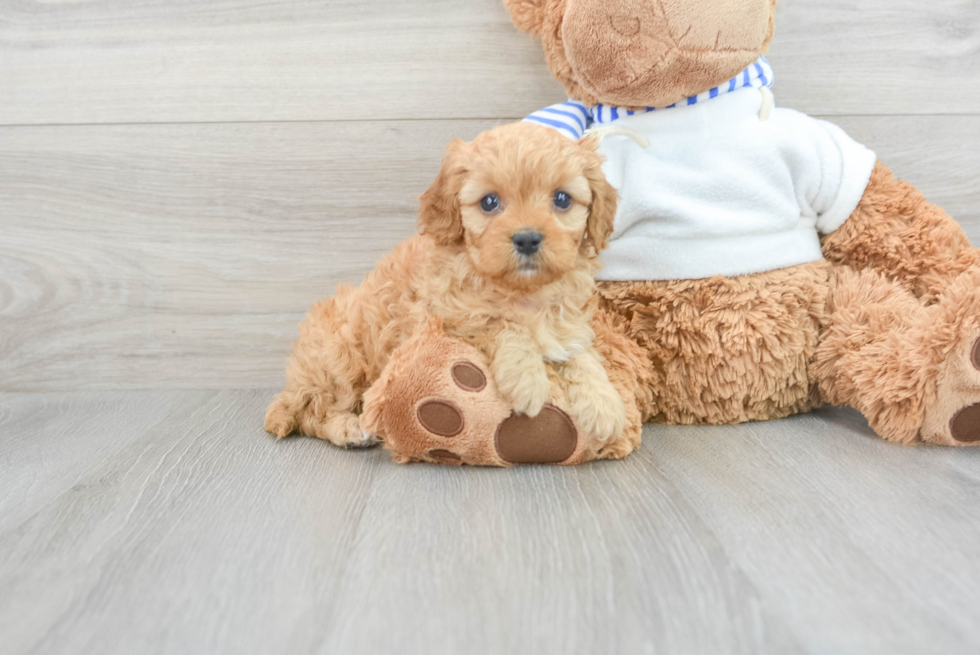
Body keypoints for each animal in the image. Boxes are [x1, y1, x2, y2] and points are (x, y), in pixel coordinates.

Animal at [264, 121, 624, 452]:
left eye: (562, 199)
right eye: (489, 202)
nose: (527, 238)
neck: (523, 290)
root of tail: (295, 379)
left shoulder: (566, 324)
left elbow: (581, 354)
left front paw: (604, 403)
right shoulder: (446, 317)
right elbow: (500, 323)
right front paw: (527, 379)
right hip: (339, 357)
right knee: (314, 412)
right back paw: (350, 428)